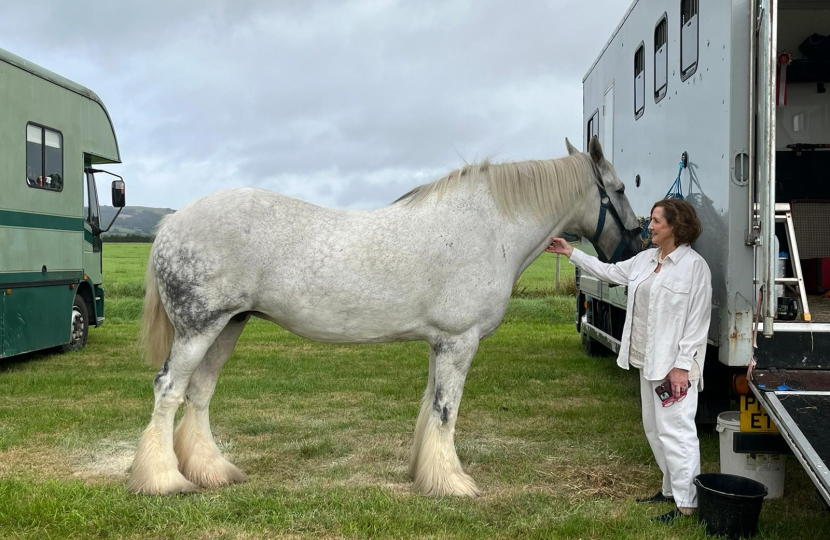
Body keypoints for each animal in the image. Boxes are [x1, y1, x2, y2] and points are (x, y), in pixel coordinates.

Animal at [128, 137, 641, 496]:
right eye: (617, 189)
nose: (636, 244)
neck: (489, 228)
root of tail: (171, 223)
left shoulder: (441, 342)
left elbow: (431, 408)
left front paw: (426, 474)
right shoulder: (459, 341)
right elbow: (446, 410)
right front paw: (453, 483)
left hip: (229, 327)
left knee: (198, 393)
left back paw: (212, 471)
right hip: (198, 329)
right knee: (168, 390)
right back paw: (163, 480)